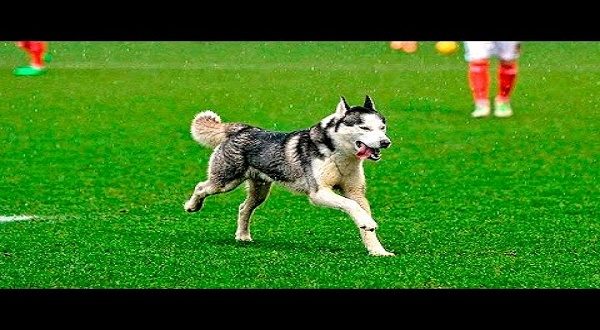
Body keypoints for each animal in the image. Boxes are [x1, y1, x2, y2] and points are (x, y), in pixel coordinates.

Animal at [185, 95, 396, 255]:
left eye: (382, 127)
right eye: (364, 128)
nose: (385, 142)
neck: (340, 155)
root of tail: (242, 128)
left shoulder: (356, 192)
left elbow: (362, 216)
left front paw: (378, 251)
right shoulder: (319, 193)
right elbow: (351, 206)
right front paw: (367, 223)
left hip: (260, 191)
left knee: (244, 208)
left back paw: (243, 236)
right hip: (225, 182)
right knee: (201, 187)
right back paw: (191, 206)